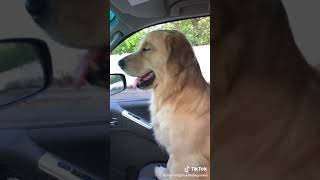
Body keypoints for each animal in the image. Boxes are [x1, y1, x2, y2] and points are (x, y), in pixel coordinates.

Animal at [117, 30, 210, 179]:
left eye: (147, 49)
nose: (119, 62)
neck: (174, 94)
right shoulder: (174, 153)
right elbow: (169, 164)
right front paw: (162, 173)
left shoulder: (184, 158)